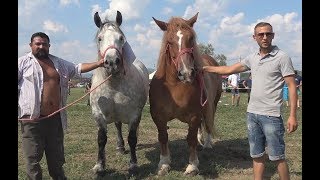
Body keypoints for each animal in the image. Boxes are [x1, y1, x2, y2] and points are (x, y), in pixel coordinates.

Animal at [90, 10, 150, 176]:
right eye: (100, 38)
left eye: (121, 38)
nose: (112, 62)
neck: (113, 84)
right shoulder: (98, 115)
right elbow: (101, 140)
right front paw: (100, 166)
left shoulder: (135, 115)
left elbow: (132, 139)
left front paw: (133, 165)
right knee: (117, 126)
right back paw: (120, 146)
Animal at [149, 13, 221, 176]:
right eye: (169, 41)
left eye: (191, 38)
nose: (187, 73)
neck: (174, 87)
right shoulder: (158, 117)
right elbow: (163, 137)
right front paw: (164, 163)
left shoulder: (194, 116)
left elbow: (191, 139)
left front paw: (192, 165)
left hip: (212, 105)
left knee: (208, 122)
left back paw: (207, 143)